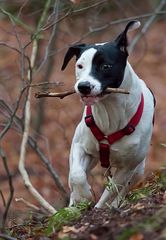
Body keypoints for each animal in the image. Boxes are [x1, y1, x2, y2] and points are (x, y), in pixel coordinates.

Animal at [61, 20, 155, 208]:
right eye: (79, 66)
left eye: (105, 66)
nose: (83, 86)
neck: (110, 111)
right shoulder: (80, 146)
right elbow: (76, 175)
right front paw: (82, 196)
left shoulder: (128, 167)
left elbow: (111, 190)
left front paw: (100, 207)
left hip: (138, 170)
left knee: (123, 189)